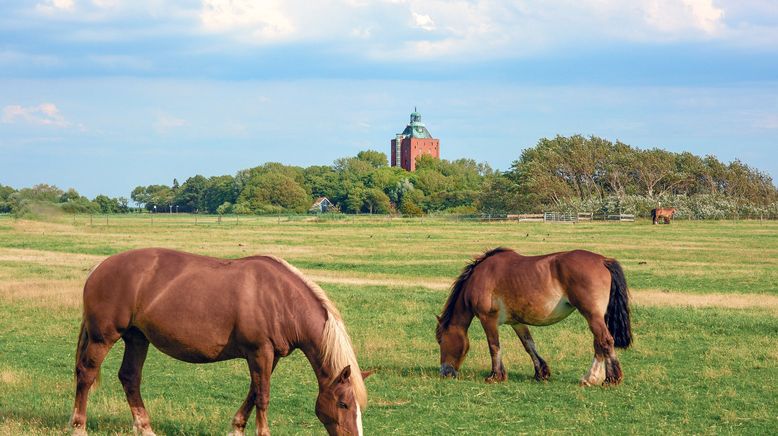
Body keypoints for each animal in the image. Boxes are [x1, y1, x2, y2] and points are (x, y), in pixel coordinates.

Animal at [69, 249, 366, 436]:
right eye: (343, 404)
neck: (280, 298)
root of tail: (99, 267)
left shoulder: (269, 356)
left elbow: (253, 392)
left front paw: (236, 428)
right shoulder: (260, 352)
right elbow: (263, 396)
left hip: (137, 338)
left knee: (130, 377)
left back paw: (145, 428)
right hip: (103, 338)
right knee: (86, 374)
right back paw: (79, 427)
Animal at [436, 247, 632, 386]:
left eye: (441, 340)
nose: (444, 372)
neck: (480, 277)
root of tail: (603, 260)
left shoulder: (488, 319)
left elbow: (494, 346)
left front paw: (495, 376)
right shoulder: (517, 322)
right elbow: (529, 345)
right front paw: (541, 372)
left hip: (592, 315)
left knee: (605, 341)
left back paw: (609, 379)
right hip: (596, 317)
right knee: (598, 343)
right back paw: (592, 378)